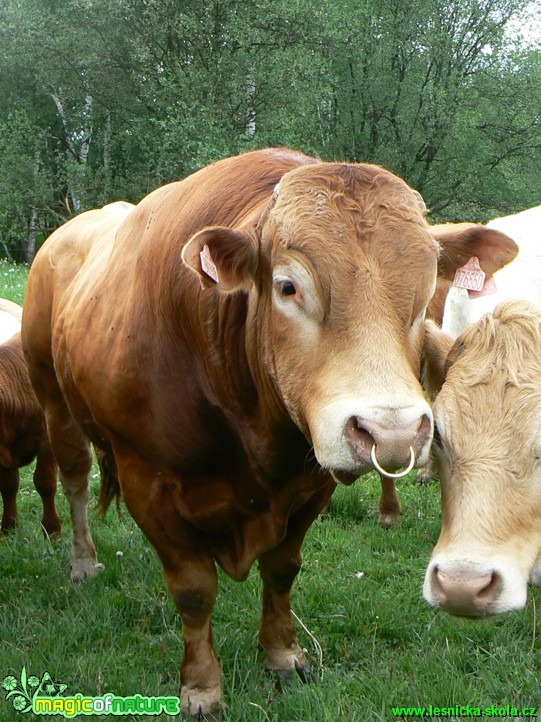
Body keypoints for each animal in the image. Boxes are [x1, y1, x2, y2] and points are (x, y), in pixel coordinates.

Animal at [23, 148, 504, 716]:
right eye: (288, 286)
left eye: (428, 290)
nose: (392, 431)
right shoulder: (149, 481)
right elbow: (193, 590)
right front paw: (202, 687)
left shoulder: (310, 483)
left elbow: (282, 569)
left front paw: (282, 656)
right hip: (51, 394)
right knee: (75, 479)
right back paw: (82, 561)